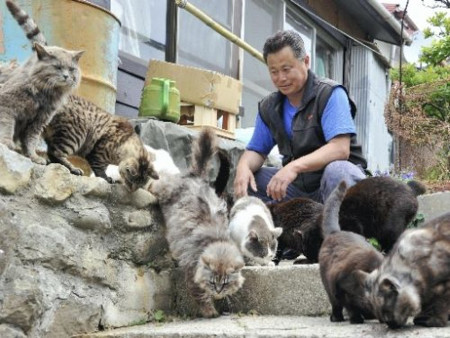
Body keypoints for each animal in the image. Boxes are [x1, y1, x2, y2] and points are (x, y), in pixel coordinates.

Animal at [3, 0, 157, 190]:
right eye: (132, 178)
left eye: (140, 184)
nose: (131, 190)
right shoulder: (98, 151)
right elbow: (99, 168)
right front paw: (107, 178)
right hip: (74, 133)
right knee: (55, 153)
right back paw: (72, 168)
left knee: (50, 152)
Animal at [149, 128, 244, 318]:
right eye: (212, 281)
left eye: (226, 283)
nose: (218, 291)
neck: (216, 242)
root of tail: (196, 176)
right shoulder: (192, 273)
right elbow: (201, 295)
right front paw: (210, 311)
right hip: (164, 190)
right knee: (154, 183)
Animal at [320, 181, 384, 324]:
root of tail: (335, 232)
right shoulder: (341, 287)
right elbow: (350, 306)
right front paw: (356, 318)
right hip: (328, 285)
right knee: (335, 304)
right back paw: (336, 318)